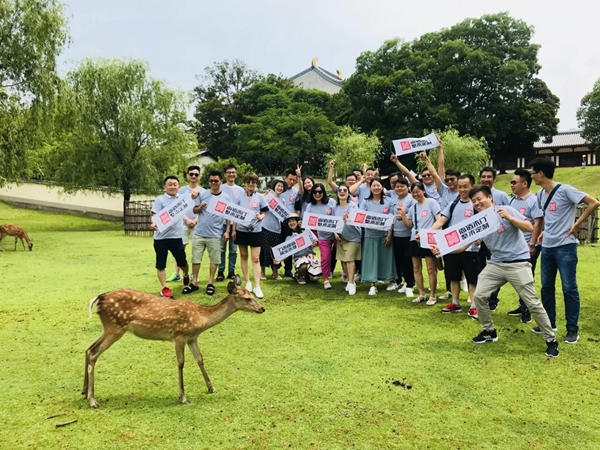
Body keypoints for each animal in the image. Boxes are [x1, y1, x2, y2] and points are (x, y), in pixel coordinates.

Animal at [82, 276, 264, 410]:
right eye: (247, 298)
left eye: (252, 295)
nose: (262, 308)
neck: (201, 318)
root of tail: (98, 298)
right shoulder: (179, 335)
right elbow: (181, 363)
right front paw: (183, 397)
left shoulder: (192, 337)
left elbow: (200, 359)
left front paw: (212, 388)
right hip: (115, 327)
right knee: (94, 352)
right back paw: (93, 401)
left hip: (109, 328)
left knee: (88, 349)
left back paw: (84, 392)